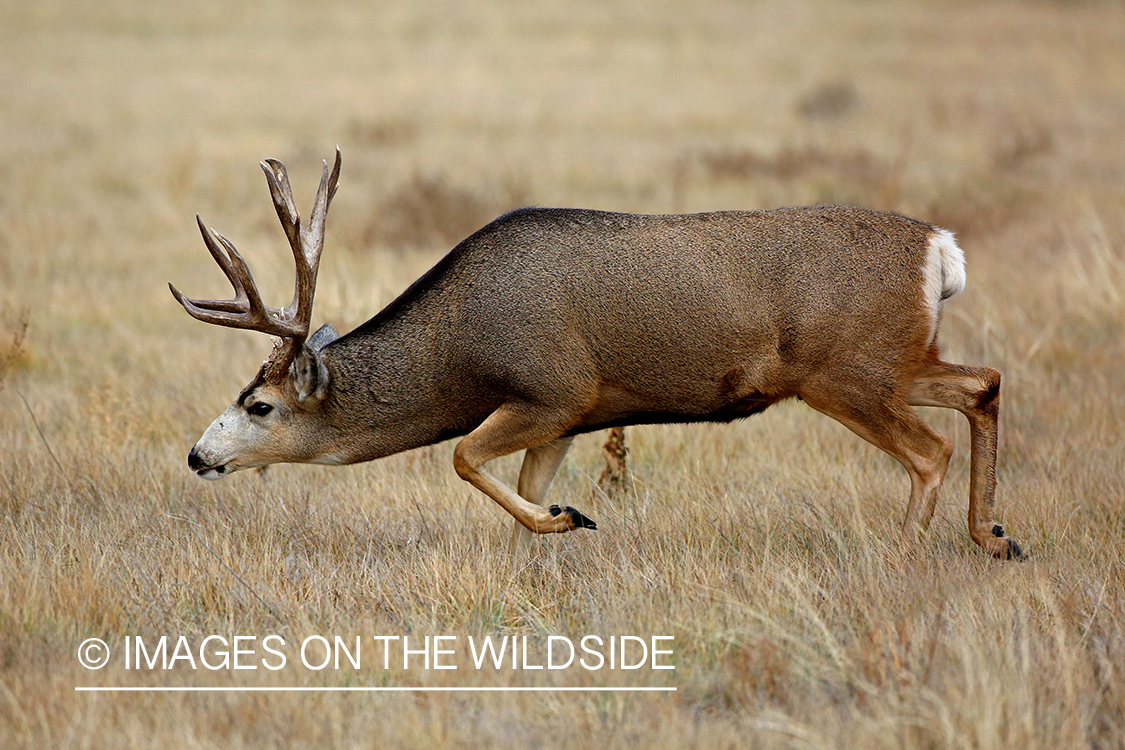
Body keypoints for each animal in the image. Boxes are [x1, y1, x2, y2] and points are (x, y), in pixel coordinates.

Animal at [171, 149, 1026, 559]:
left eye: (259, 404)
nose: (196, 456)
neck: (458, 347)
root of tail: (938, 249)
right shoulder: (572, 417)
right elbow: (521, 487)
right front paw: (551, 530)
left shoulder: (553, 388)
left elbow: (463, 459)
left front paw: (570, 519)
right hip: (895, 361)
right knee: (982, 383)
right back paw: (995, 536)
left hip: (847, 371)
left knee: (929, 450)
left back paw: (906, 553)